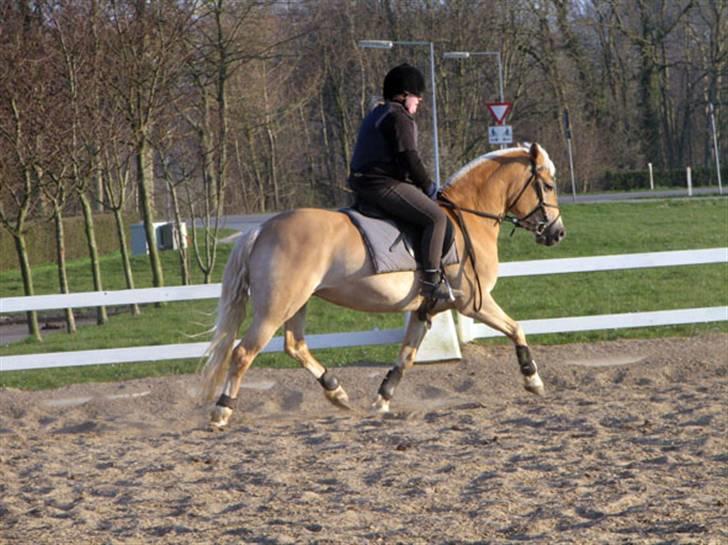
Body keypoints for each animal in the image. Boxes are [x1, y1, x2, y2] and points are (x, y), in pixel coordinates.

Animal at [202, 142, 564, 428]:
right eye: (547, 185)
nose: (557, 233)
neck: (468, 218)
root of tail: (261, 229)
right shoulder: (473, 303)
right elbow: (516, 328)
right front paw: (533, 379)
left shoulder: (426, 309)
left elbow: (406, 357)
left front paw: (382, 400)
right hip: (275, 307)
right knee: (243, 353)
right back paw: (222, 411)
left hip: (297, 303)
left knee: (295, 345)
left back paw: (337, 392)